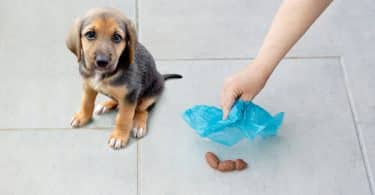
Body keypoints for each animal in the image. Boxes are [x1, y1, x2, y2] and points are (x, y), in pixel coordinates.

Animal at [66, 8, 182, 149]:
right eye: (90, 34)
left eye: (117, 37)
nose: (102, 62)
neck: (103, 75)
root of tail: (161, 76)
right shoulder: (88, 86)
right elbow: (86, 103)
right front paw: (82, 117)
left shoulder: (130, 95)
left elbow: (124, 118)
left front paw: (119, 136)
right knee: (117, 101)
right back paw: (106, 105)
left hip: (151, 94)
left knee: (142, 110)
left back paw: (138, 124)